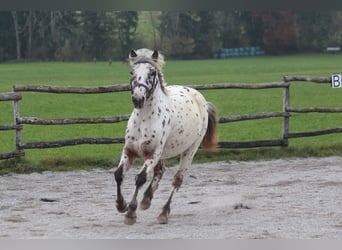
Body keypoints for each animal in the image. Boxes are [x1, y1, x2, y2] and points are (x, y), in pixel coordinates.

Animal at [113, 48, 218, 225]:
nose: (138, 99)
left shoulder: (153, 153)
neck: (144, 119)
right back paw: (146, 200)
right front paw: (121, 205)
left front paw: (131, 213)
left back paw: (163, 213)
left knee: (177, 180)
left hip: (190, 150)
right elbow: (119, 175)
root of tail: (200, 98)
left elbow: (140, 178)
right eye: (132, 72)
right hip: (163, 153)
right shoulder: (130, 151)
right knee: (160, 171)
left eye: (152, 72)